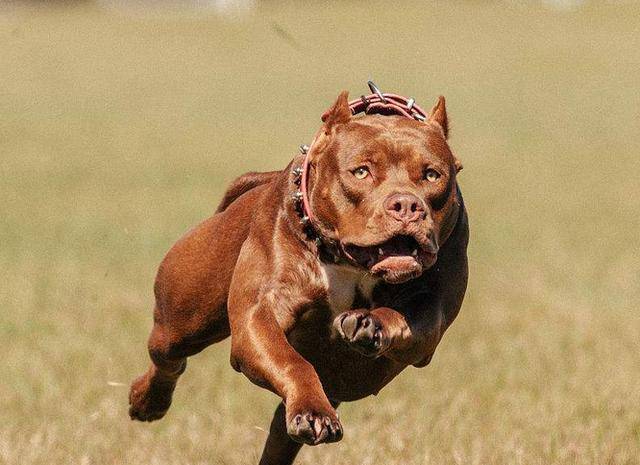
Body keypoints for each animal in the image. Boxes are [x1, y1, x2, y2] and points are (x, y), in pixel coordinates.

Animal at [127, 84, 468, 464]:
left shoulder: (430, 321)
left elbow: (403, 318)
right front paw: (312, 409)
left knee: (281, 431)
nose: (406, 205)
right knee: (168, 357)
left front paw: (370, 323)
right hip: (182, 317)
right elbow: (291, 361)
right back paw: (147, 401)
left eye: (432, 175)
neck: (350, 263)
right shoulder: (258, 319)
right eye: (361, 172)